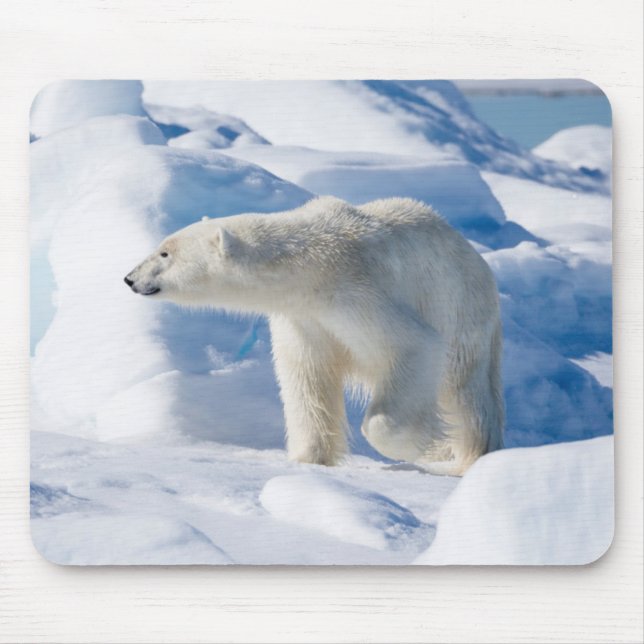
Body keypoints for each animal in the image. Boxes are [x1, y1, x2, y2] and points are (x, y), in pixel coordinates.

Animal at [124, 196, 504, 475]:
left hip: (460, 309)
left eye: (165, 252)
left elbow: (413, 345)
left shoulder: (357, 294)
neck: (310, 265)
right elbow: (307, 378)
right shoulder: (304, 319)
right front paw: (308, 458)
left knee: (466, 393)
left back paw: (469, 455)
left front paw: (433, 448)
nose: (130, 278)